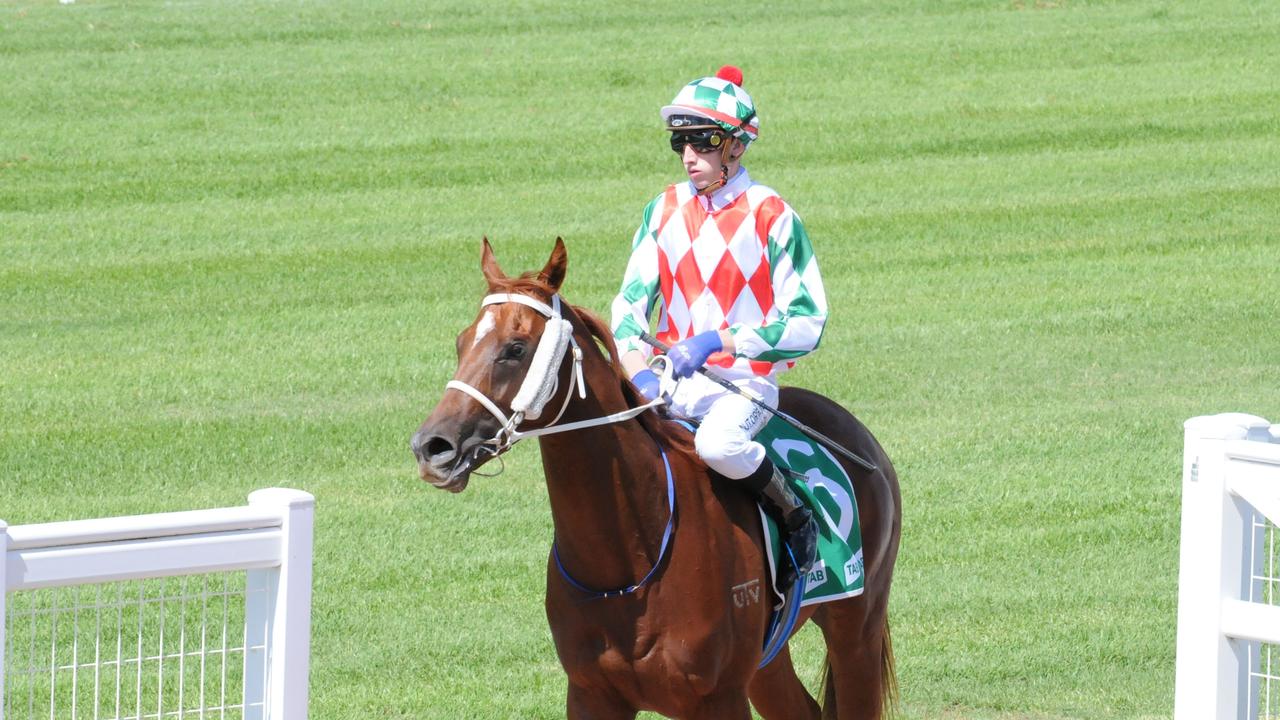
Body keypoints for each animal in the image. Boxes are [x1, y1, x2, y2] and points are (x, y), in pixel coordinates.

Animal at [409, 238, 901, 712]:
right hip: (768, 659)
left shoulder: (718, 696)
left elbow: (803, 316)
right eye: (461, 342)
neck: (630, 560)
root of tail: (861, 438)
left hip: (856, 629)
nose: (431, 447)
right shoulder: (591, 693)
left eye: (515, 348)